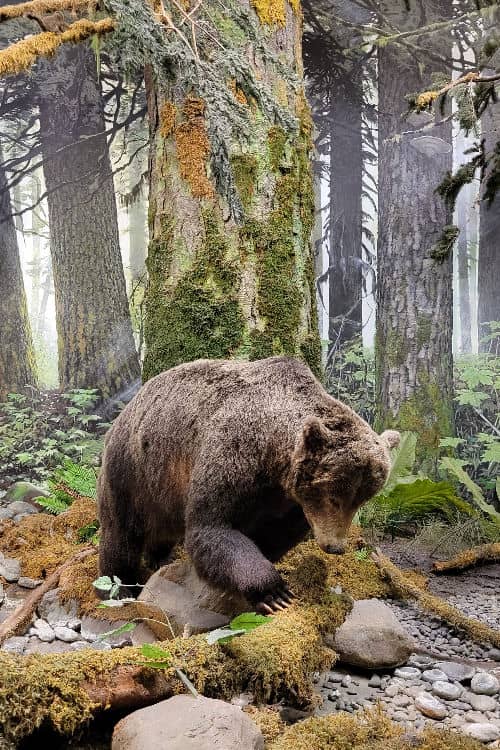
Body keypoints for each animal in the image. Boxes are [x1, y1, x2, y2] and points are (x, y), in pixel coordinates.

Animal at [97, 356, 399, 613]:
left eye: (361, 500)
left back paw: (160, 558)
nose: (335, 546)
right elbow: (212, 527)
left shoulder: (287, 501)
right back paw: (119, 587)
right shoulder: (234, 454)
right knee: (120, 534)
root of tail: (126, 410)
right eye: (335, 497)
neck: (273, 459)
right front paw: (274, 593)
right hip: (132, 473)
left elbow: (274, 533)